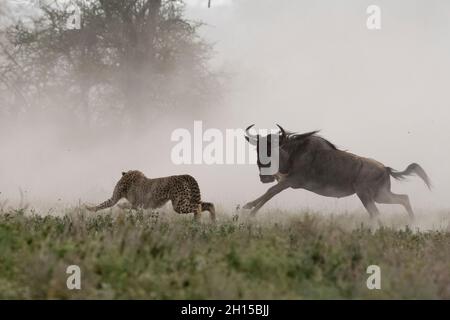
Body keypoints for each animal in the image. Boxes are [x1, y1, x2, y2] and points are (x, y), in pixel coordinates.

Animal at [87, 171, 216, 221]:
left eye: (120, 185)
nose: (118, 186)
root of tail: (184, 175)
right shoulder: (140, 205)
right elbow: (104, 203)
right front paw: (89, 208)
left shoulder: (138, 204)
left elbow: (122, 204)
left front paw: (121, 205)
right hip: (186, 200)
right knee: (209, 204)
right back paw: (212, 222)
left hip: (179, 205)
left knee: (198, 207)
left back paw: (197, 222)